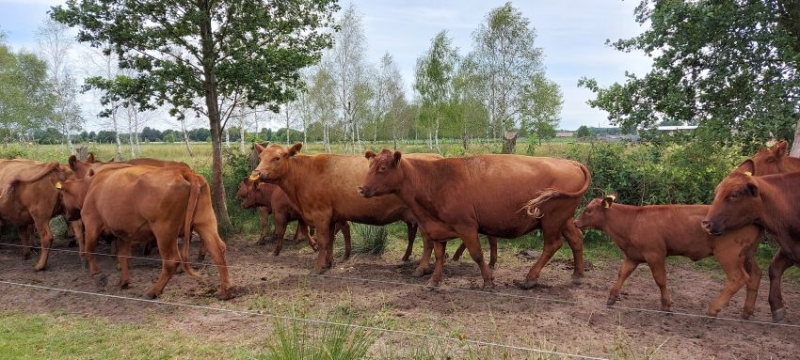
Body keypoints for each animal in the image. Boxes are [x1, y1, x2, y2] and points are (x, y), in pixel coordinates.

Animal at [55, 165, 231, 300]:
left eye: (61, 195)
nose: (67, 216)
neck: (91, 186)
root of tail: (182, 171)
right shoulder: (125, 234)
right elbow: (123, 256)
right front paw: (124, 281)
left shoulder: (92, 224)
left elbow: (89, 249)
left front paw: (95, 273)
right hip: (205, 222)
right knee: (218, 249)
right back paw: (226, 291)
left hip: (164, 231)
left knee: (171, 260)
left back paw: (154, 291)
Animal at [358, 149, 588, 290]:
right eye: (370, 167)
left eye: (382, 169)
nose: (361, 188)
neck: (434, 180)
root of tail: (570, 162)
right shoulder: (437, 228)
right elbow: (439, 255)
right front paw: (434, 280)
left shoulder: (466, 226)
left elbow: (477, 254)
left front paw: (488, 281)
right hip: (564, 219)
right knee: (576, 239)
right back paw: (577, 275)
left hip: (552, 219)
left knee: (553, 245)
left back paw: (530, 278)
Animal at [576, 197, 764, 318]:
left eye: (589, 210)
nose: (576, 222)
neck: (632, 220)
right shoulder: (632, 255)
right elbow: (622, 274)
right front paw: (612, 298)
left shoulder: (655, 254)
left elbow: (660, 279)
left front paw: (666, 305)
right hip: (747, 255)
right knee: (755, 276)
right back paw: (746, 312)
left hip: (728, 255)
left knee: (738, 278)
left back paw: (713, 309)